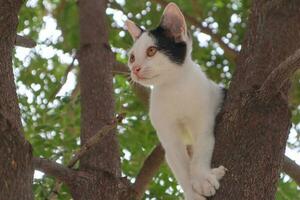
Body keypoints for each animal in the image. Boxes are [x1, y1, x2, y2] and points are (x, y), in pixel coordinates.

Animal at [125, 3, 226, 200]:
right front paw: (194, 192)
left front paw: (201, 177)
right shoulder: (169, 138)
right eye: (132, 57)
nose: (135, 69)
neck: (174, 89)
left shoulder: (203, 119)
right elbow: (181, 166)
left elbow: (202, 147)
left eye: (151, 51)